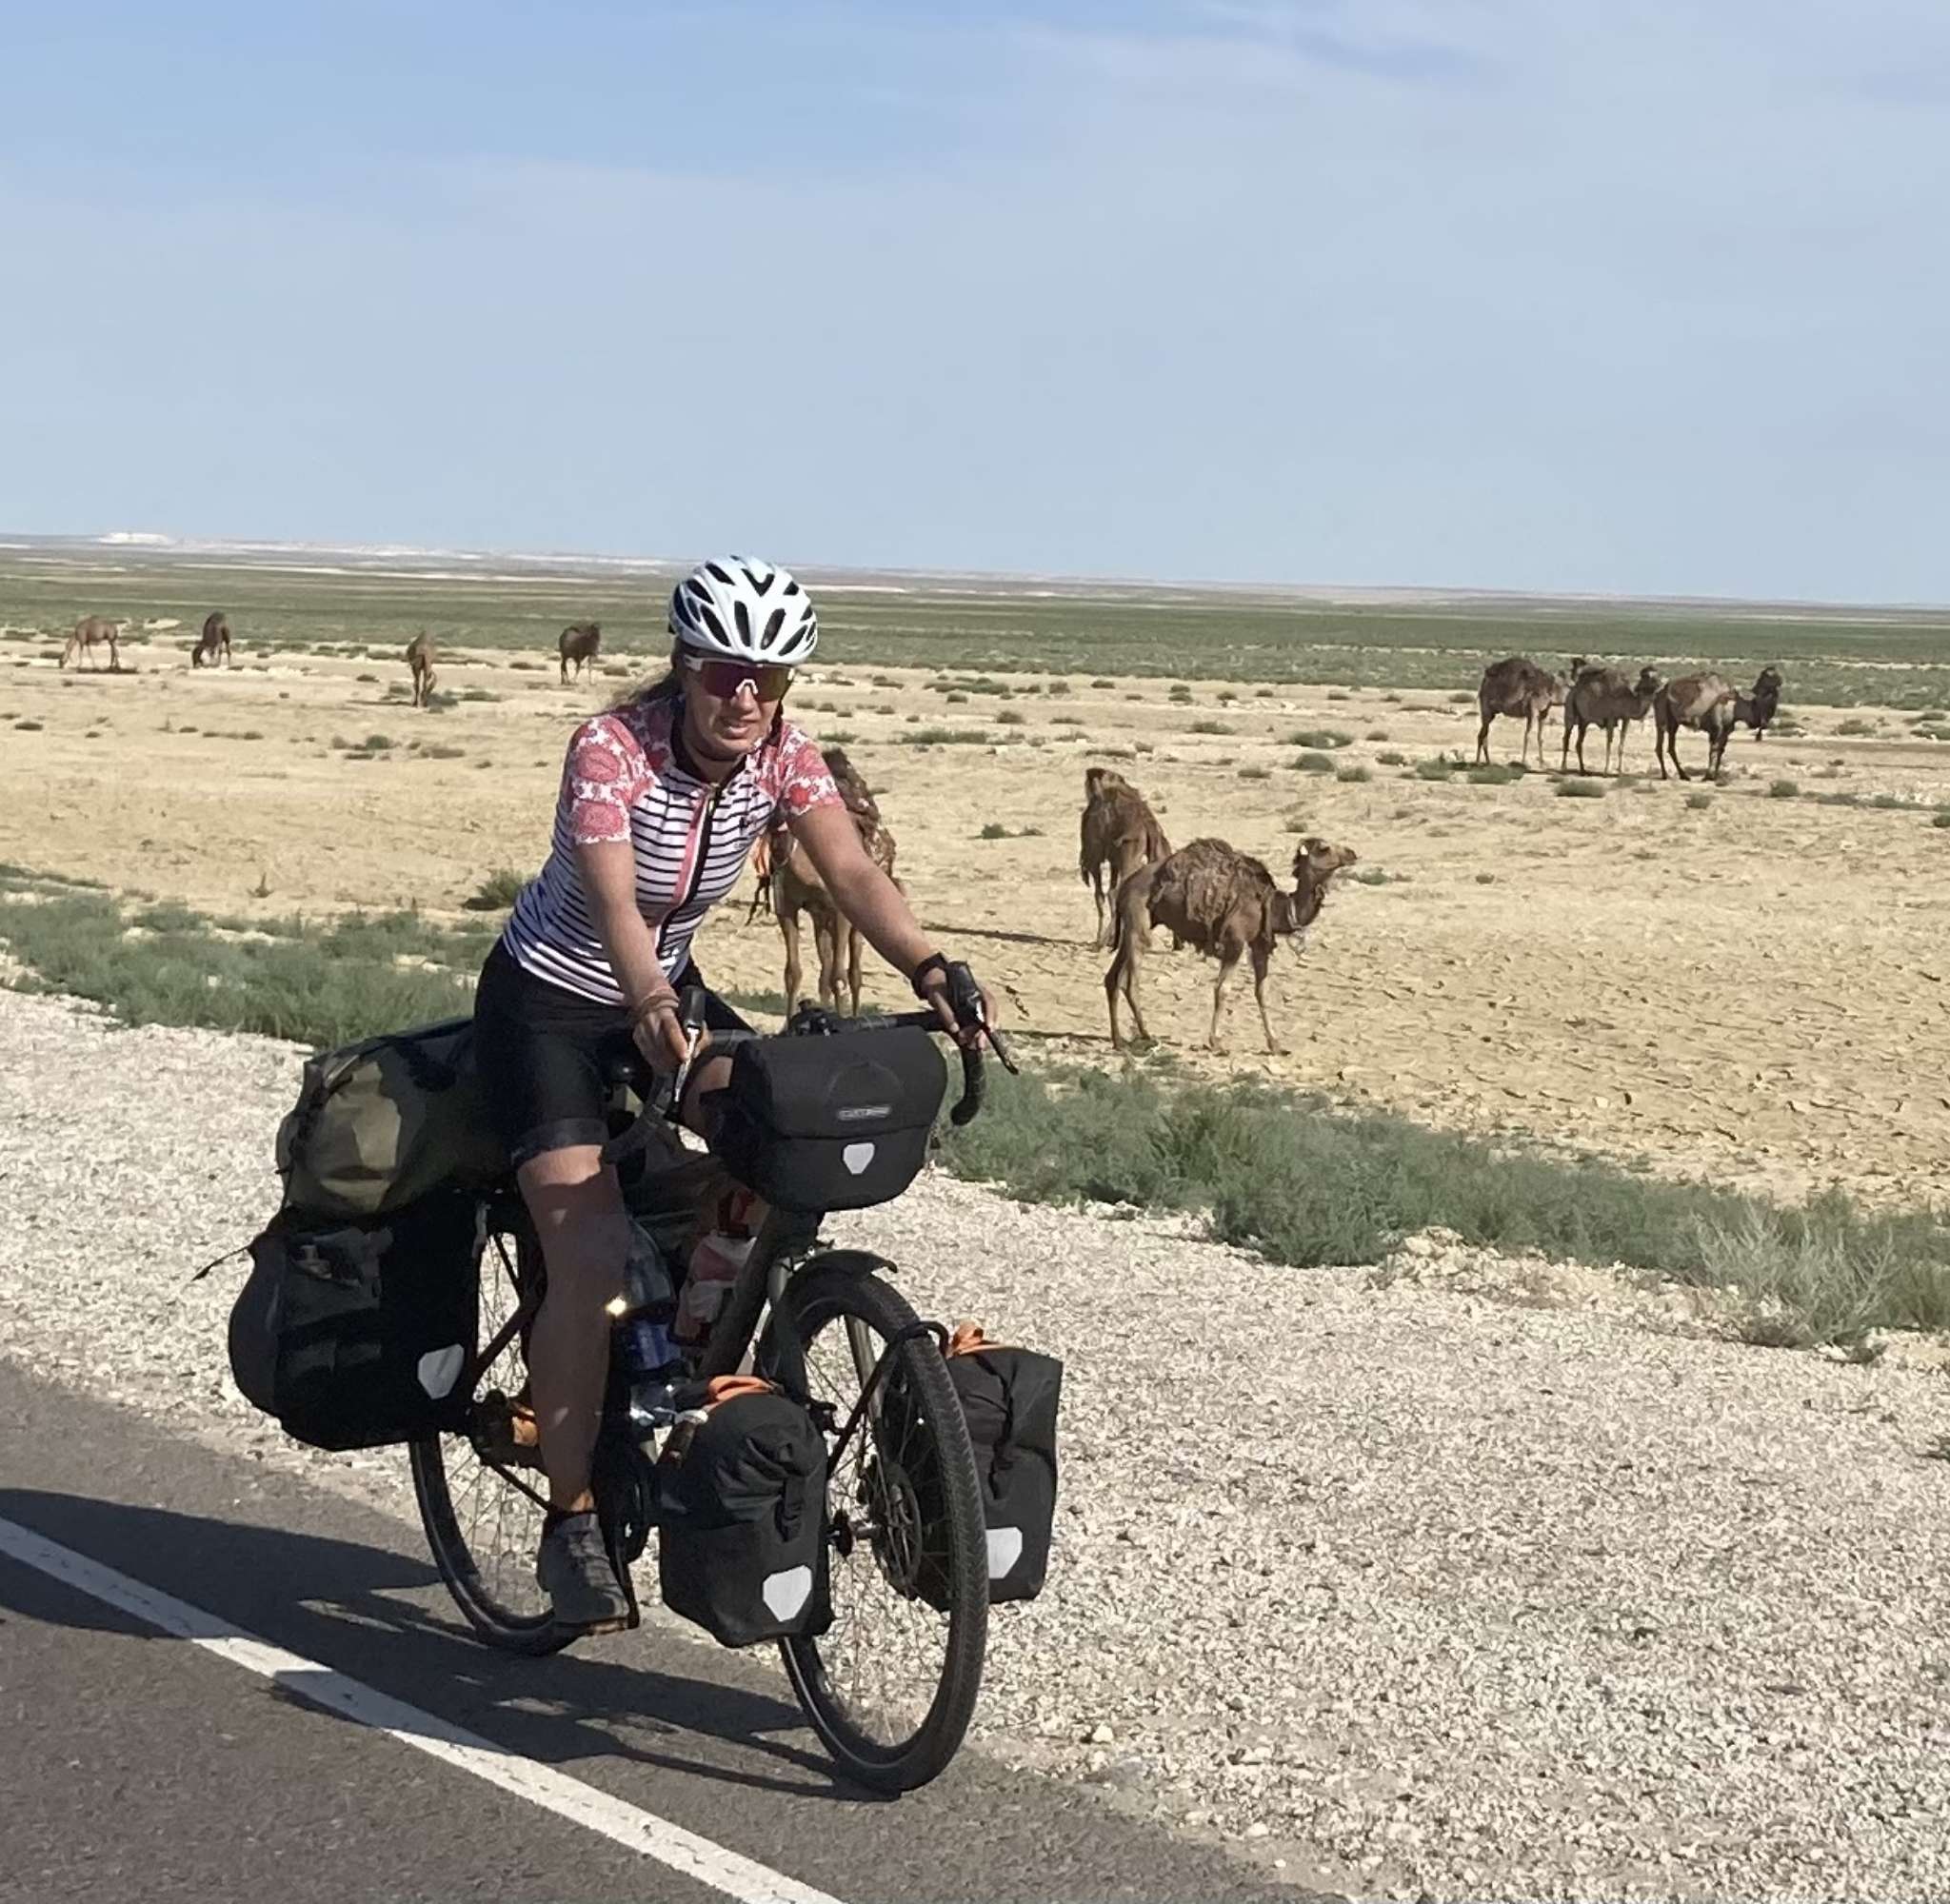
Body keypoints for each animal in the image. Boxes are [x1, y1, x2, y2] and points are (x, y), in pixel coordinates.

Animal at [776, 744, 897, 1021]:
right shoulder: (786, 906)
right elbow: (793, 973)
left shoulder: (840, 912)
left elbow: (839, 977)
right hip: (820, 915)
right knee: (825, 967)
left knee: (852, 972)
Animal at [1084, 767, 1169, 946]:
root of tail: (1147, 825)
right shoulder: (1114, 859)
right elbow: (1110, 891)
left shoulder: (1094, 854)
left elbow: (1100, 894)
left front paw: (1100, 939)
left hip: (1128, 852)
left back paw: (1104, 941)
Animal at [1107, 834, 1364, 1052]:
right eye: (1324, 847)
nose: (1352, 853)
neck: (1273, 905)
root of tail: (1126, 886)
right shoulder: (1235, 941)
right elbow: (1222, 990)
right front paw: (1216, 1042)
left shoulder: (1260, 944)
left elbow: (1262, 991)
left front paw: (1275, 1044)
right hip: (1138, 921)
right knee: (1130, 982)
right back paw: (1146, 1035)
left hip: (1135, 925)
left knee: (1112, 978)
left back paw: (1118, 1040)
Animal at [1653, 670, 1785, 779]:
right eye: (1769, 676)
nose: (1780, 680)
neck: (1735, 706)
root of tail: (1659, 692)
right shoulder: (1716, 727)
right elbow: (1713, 750)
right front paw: (1707, 776)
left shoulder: (1727, 729)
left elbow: (1721, 750)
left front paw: (1716, 776)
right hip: (1666, 717)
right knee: (1666, 746)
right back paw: (1678, 775)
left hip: (1667, 721)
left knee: (1664, 747)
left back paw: (1671, 775)